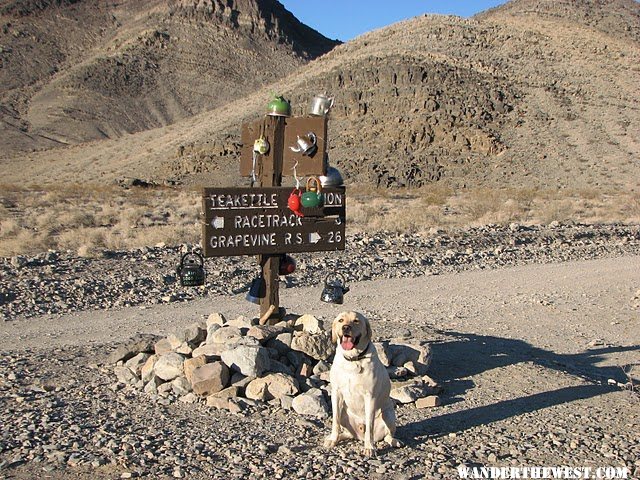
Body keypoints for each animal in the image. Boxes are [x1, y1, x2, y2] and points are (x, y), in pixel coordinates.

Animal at [322, 312, 402, 458]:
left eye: (356, 321)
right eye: (341, 320)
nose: (346, 327)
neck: (353, 360)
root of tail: (358, 435)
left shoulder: (370, 397)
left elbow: (369, 425)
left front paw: (369, 447)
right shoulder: (336, 393)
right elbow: (335, 421)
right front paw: (332, 439)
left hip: (388, 414)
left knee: (388, 435)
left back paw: (394, 441)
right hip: (345, 414)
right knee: (347, 431)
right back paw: (336, 437)